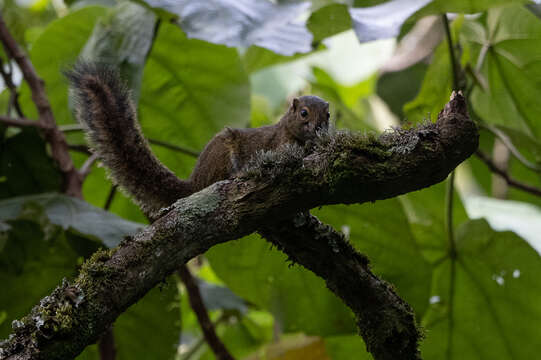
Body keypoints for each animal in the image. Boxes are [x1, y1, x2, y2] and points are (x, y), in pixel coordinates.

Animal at [67, 62, 330, 218]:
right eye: (303, 113)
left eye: (327, 116)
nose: (318, 127)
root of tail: (194, 184)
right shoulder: (278, 143)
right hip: (222, 154)